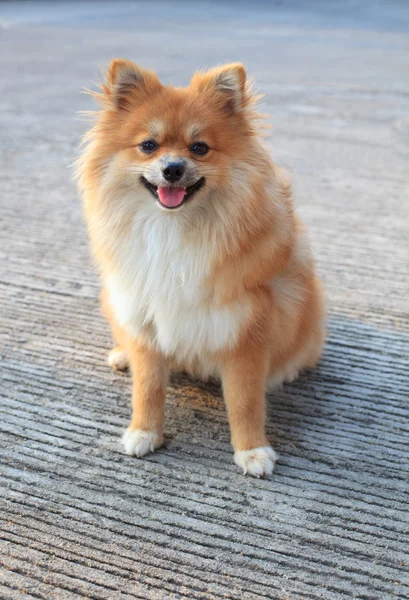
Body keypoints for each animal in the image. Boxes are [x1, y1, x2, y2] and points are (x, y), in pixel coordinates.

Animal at [76, 58, 326, 476]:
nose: (173, 168)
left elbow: (244, 401)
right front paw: (144, 431)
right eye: (148, 146)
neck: (173, 228)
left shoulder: (245, 329)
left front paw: (252, 450)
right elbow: (147, 388)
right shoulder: (145, 316)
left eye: (200, 148)